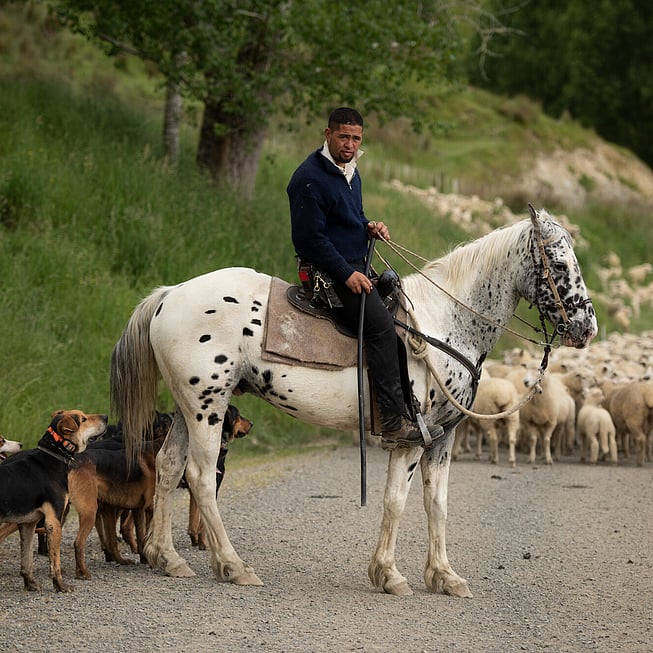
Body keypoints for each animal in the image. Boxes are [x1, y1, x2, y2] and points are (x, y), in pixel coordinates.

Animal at [0, 410, 107, 592]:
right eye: (84, 419)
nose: (106, 417)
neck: (53, 456)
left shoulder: (28, 524)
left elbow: (27, 559)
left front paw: (30, 583)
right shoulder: (54, 522)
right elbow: (55, 561)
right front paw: (60, 585)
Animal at [110, 206, 597, 597]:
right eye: (558, 261)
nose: (587, 327)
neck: (445, 322)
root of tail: (170, 294)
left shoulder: (443, 438)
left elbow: (436, 504)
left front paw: (444, 576)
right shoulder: (411, 439)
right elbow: (395, 501)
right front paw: (389, 574)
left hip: (187, 407)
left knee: (170, 466)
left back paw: (167, 557)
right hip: (207, 407)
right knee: (200, 476)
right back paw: (232, 565)